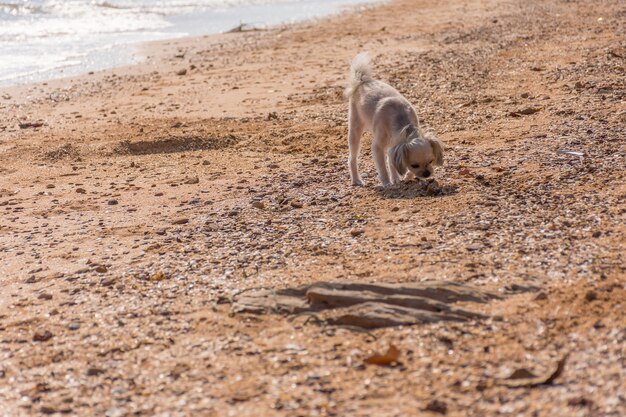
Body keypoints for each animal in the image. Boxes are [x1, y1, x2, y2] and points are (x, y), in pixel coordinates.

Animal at [344, 52, 442, 186]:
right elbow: (382, 167)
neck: (403, 123)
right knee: (352, 158)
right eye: (414, 165)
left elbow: (392, 162)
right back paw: (356, 180)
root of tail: (363, 81)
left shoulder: (395, 145)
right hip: (355, 129)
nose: (426, 173)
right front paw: (386, 182)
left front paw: (402, 177)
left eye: (431, 161)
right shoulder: (378, 147)